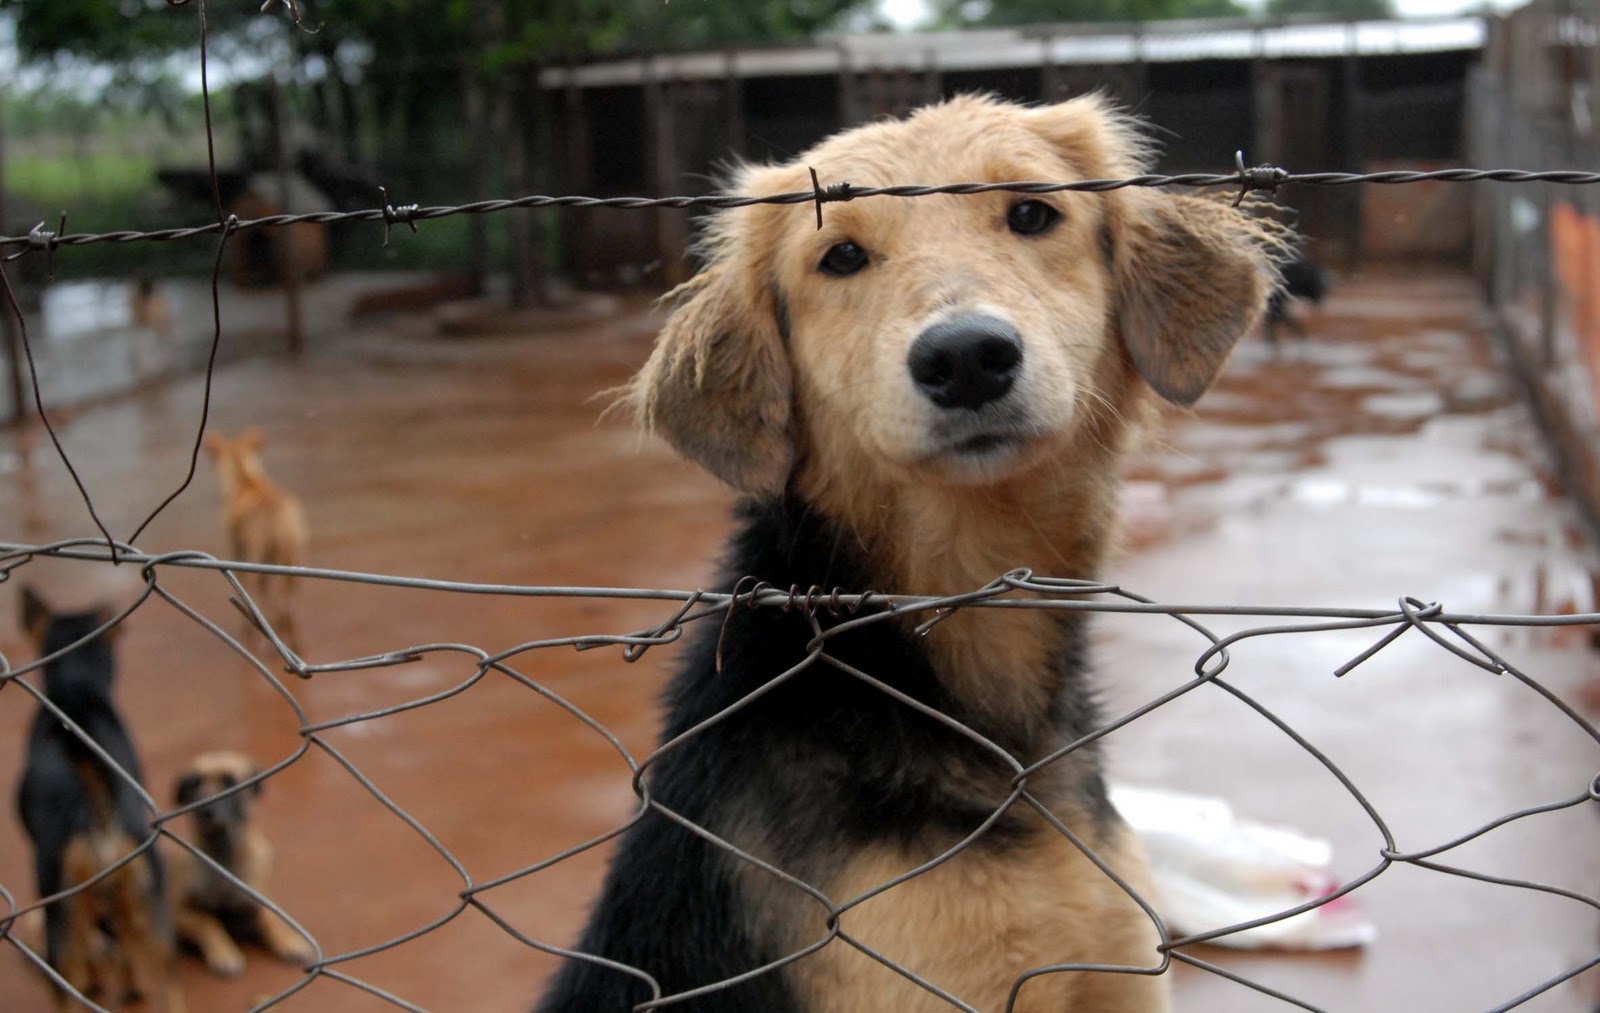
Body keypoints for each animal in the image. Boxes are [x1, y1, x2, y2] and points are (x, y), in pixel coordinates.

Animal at [164, 752, 312, 972]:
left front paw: (288, 940)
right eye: (193, 783)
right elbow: (208, 922)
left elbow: (271, 918)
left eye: (230, 782)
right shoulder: (179, 915)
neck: (223, 858)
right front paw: (225, 953)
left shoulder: (257, 903)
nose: (204, 810)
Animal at [201, 425, 307, 646]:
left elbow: (241, 579)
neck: (245, 477)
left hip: (258, 553)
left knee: (264, 591)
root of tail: (274, 512)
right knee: (289, 593)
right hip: (294, 553)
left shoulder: (237, 545)